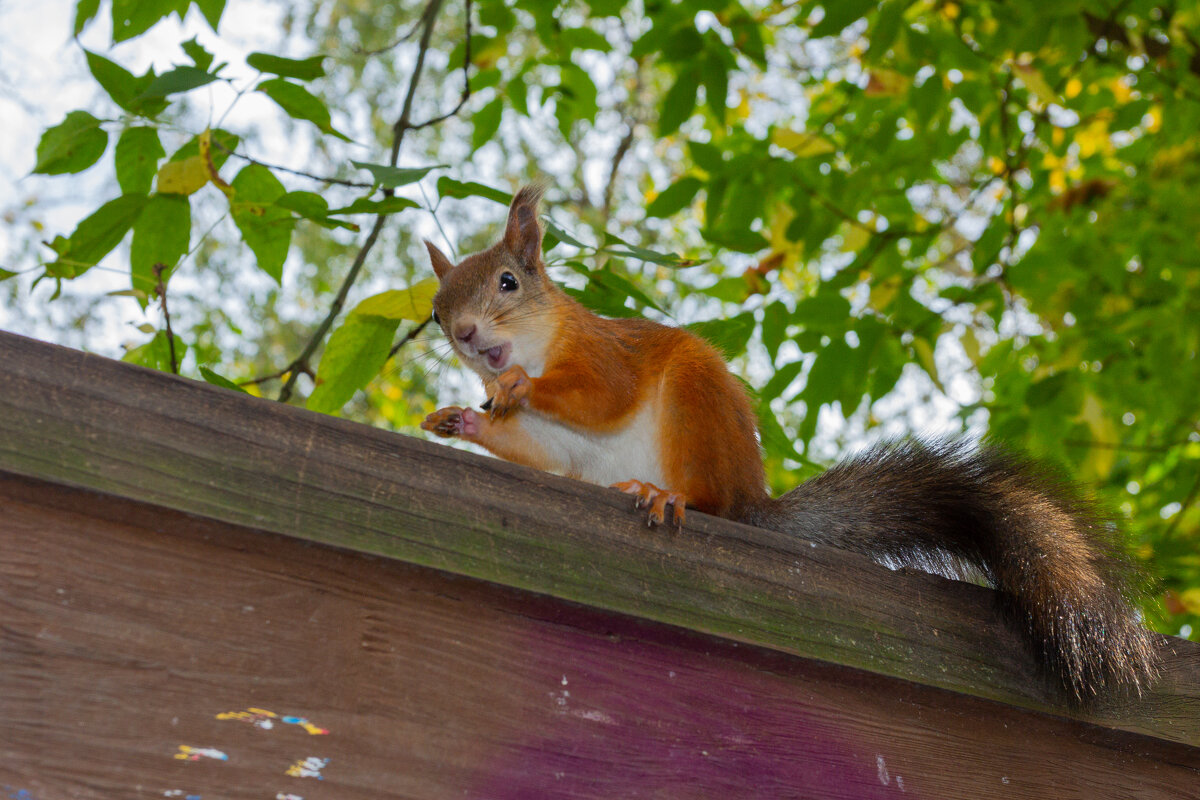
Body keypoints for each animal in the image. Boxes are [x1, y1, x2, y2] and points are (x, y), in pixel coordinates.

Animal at [424, 183, 1161, 700]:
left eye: (508, 283)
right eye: (435, 312)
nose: (464, 335)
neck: (542, 341)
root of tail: (756, 501)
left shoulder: (607, 356)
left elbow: (599, 396)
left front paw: (519, 385)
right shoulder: (558, 447)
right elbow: (541, 450)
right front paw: (463, 419)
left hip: (697, 408)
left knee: (714, 503)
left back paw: (669, 496)